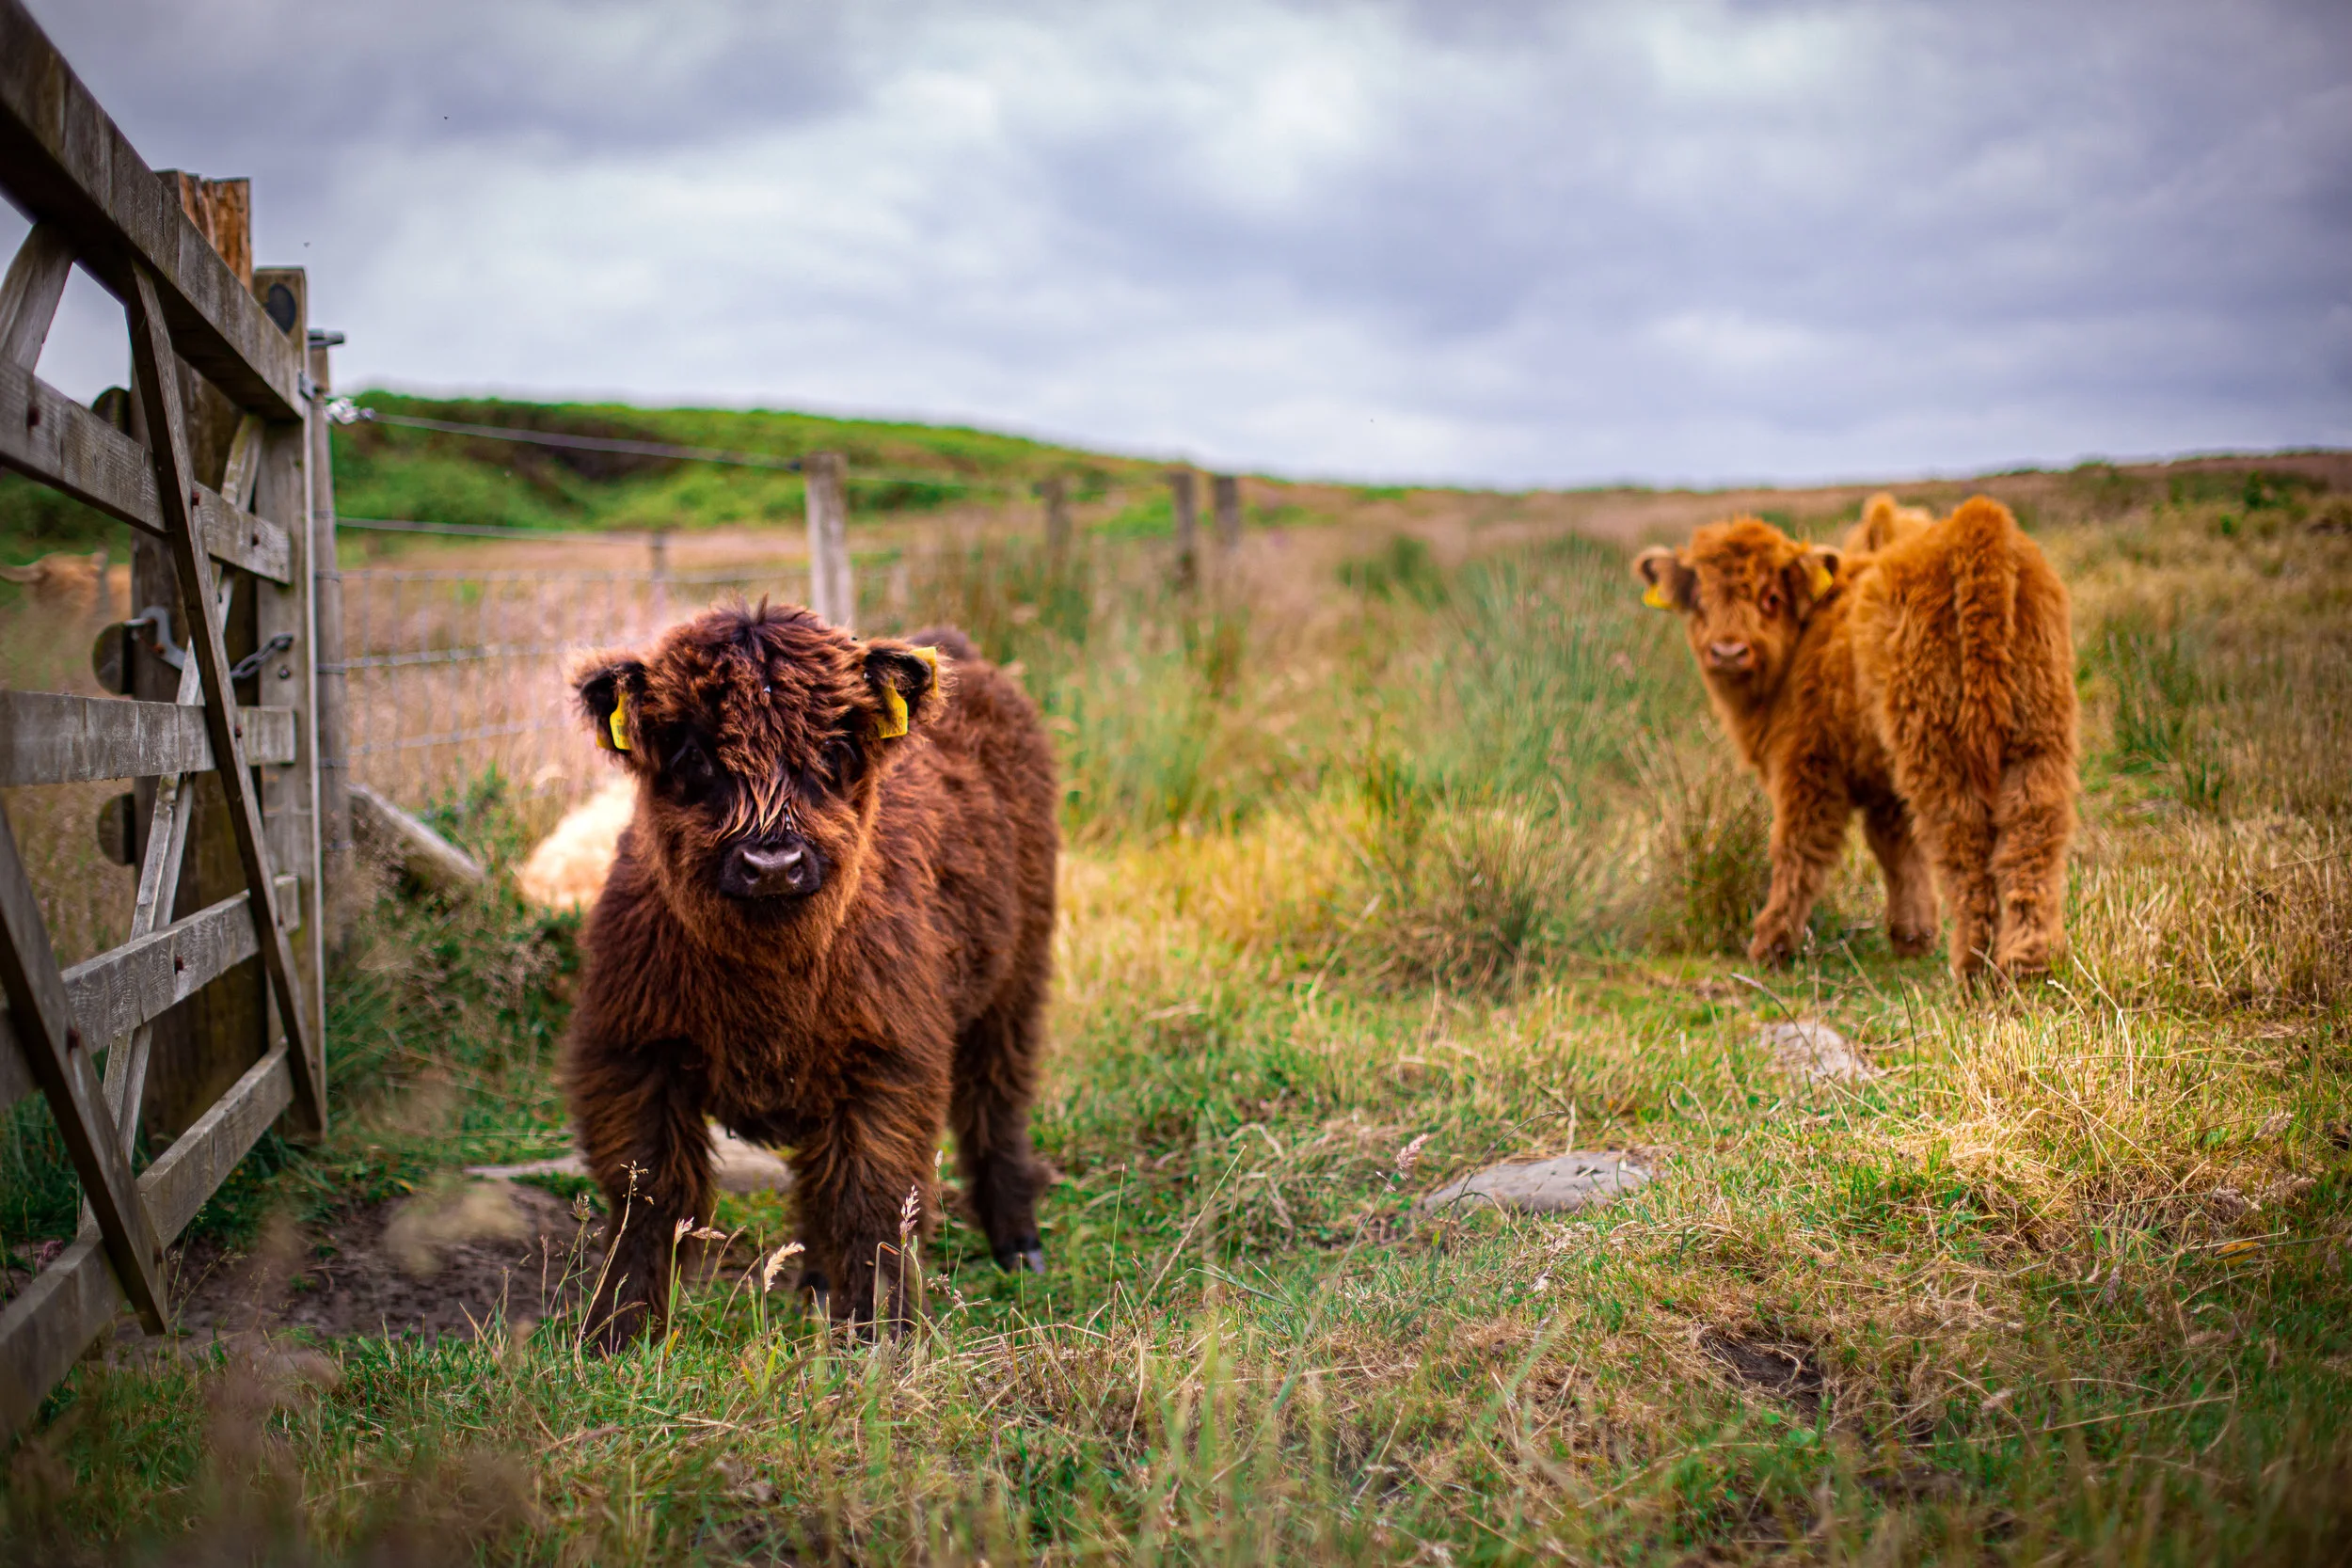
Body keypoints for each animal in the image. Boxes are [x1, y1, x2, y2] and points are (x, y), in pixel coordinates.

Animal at [563, 602, 1059, 1344]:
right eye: (694, 756)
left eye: (831, 753)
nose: (773, 864)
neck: (769, 984)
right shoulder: (632, 1053)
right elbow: (646, 1196)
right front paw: (618, 1334)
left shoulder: (888, 1060)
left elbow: (873, 1202)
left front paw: (883, 1333)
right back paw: (819, 1284)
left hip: (1016, 977)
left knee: (995, 1104)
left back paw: (1017, 1244)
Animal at [1635, 496, 2078, 980]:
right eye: (1700, 600)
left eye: (1770, 598)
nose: (1728, 652)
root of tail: (1976, 524)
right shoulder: (1882, 779)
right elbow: (1897, 848)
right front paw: (1913, 936)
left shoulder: (1806, 762)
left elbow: (1798, 847)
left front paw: (1771, 944)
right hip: (2038, 731)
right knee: (2031, 835)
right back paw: (2028, 961)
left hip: (1939, 745)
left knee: (1964, 842)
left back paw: (1974, 966)